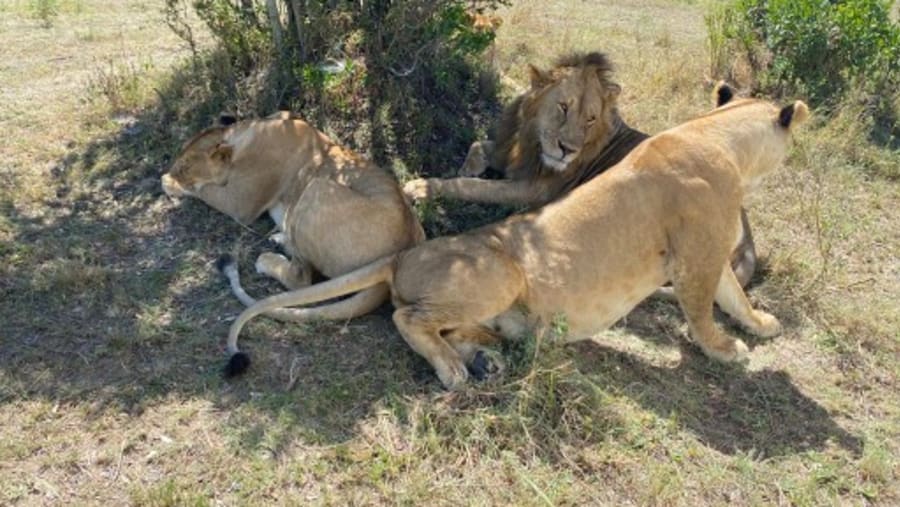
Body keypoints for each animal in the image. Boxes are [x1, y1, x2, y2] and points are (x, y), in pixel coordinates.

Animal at [161, 111, 425, 324]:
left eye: (183, 166)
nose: (170, 169)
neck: (245, 134)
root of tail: (398, 254)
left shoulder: (241, 204)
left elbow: (201, 190)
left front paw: (168, 182)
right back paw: (280, 239)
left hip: (316, 187)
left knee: (301, 278)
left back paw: (267, 259)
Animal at [222, 84, 809, 389]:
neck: (718, 137)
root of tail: (401, 255)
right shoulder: (696, 255)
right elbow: (705, 310)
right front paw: (726, 349)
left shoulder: (716, 250)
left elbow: (735, 297)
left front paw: (761, 323)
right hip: (501, 273)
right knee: (405, 318)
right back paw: (454, 371)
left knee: (450, 326)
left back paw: (485, 360)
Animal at [403, 52, 757, 288]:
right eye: (563, 107)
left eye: (590, 118)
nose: (567, 149)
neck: (531, 140)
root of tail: (749, 239)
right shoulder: (512, 155)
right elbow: (478, 147)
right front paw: (469, 165)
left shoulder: (533, 189)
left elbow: (472, 187)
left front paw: (422, 187)